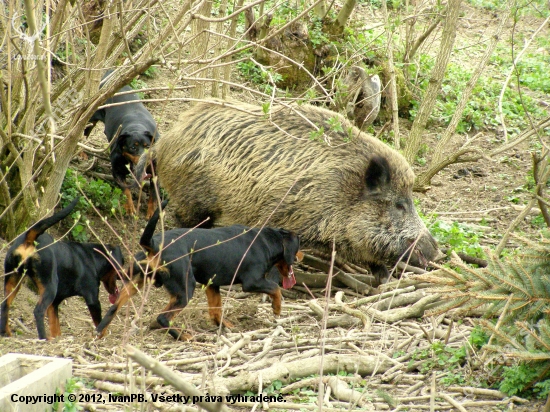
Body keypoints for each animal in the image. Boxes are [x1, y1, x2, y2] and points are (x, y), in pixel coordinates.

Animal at [0, 198, 124, 340]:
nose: (124, 274)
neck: (94, 257)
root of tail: (29, 240)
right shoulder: (93, 299)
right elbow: (101, 324)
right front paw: (100, 337)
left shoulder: (54, 303)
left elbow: (56, 328)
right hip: (49, 287)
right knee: (38, 311)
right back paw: (44, 338)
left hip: (13, 280)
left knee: (4, 305)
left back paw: (6, 333)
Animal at [85, 70, 161, 219]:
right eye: (133, 147)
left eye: (147, 146)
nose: (144, 160)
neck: (137, 126)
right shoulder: (117, 170)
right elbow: (125, 189)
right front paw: (130, 206)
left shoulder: (156, 171)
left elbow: (153, 193)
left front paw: (151, 211)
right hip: (91, 117)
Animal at [95, 199, 302, 338]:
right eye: (298, 246)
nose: (301, 256)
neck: (266, 240)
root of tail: (153, 244)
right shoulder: (252, 282)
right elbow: (275, 289)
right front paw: (276, 308)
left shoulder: (212, 285)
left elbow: (216, 310)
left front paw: (223, 325)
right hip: (185, 288)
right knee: (163, 317)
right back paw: (183, 336)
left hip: (136, 282)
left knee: (113, 307)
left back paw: (101, 331)